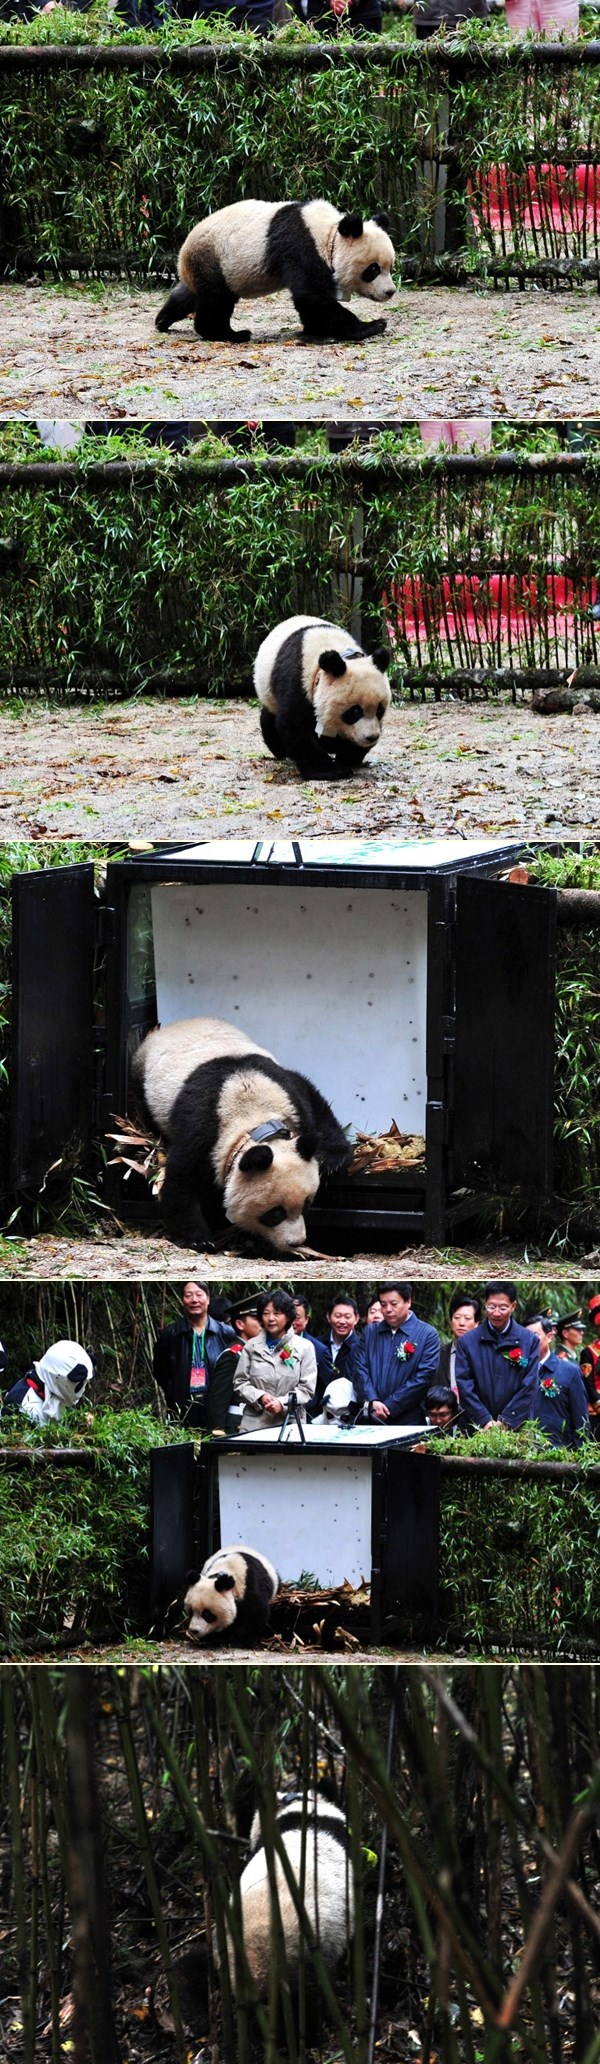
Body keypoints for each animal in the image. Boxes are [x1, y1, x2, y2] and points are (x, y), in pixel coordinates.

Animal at [132, 1014, 350, 1252]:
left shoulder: (291, 1095)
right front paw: (198, 1238)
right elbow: (182, 1178)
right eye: (275, 1214)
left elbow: (314, 1104)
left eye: (307, 1204)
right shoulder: (200, 1126)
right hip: (144, 1080)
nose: (296, 1242)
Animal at [155, 198, 396, 344]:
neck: (329, 234)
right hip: (216, 261)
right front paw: (372, 326)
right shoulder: (300, 246)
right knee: (217, 300)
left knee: (189, 294)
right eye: (373, 269)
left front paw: (316, 330)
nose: (390, 292)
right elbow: (311, 296)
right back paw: (230, 334)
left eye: (390, 267)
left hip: (204, 267)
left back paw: (162, 320)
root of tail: (182, 255)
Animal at [254, 615, 392, 780]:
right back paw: (280, 750)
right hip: (269, 693)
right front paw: (329, 771)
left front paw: (348, 758)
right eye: (354, 712)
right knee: (269, 720)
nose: (371, 737)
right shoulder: (298, 681)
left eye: (379, 710)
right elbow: (295, 725)